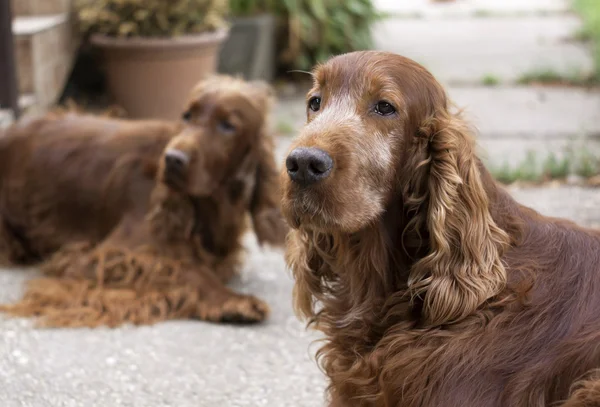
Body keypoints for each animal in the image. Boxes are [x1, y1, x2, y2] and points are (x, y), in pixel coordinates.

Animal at [0, 75, 288, 328]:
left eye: (228, 125)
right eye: (187, 115)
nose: (172, 160)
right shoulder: (101, 256)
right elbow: (183, 268)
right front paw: (232, 301)